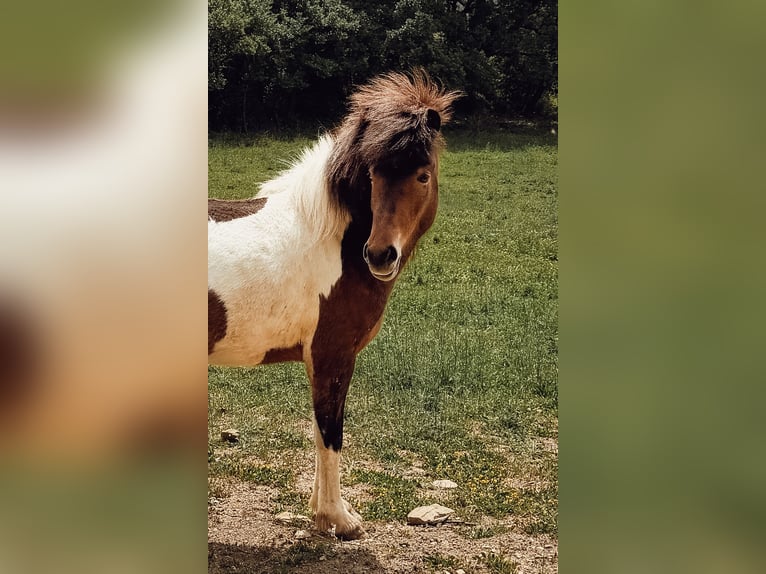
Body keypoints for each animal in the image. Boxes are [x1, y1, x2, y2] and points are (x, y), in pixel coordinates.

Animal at [208, 71, 459, 539]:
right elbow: (331, 433)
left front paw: (321, 512)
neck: (332, 239)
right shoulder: (334, 355)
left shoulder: (319, 360)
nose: (380, 255)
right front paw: (339, 519)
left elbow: (318, 428)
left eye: (422, 175)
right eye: (374, 175)